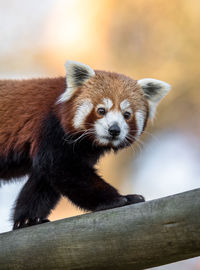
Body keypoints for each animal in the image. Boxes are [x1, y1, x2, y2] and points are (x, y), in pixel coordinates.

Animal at [0, 61, 170, 230]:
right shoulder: (51, 128)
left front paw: (27, 220)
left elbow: (42, 183)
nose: (114, 130)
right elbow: (61, 167)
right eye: (101, 110)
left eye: (127, 114)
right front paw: (118, 199)